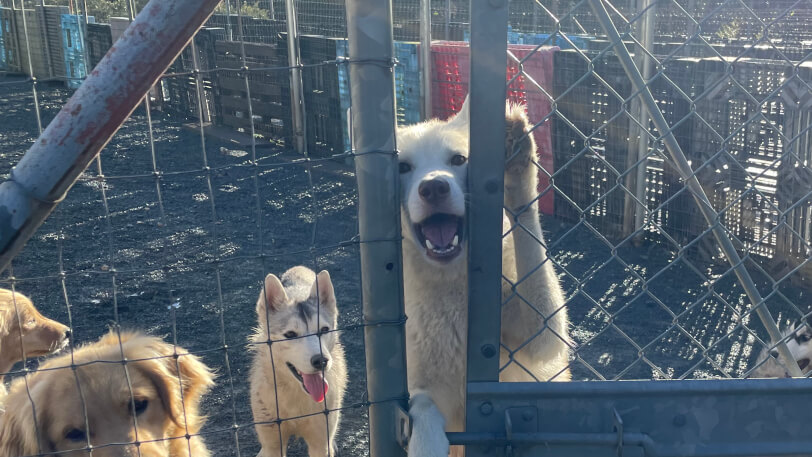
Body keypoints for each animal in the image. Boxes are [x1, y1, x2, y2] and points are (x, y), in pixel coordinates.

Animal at [249, 266, 348, 454]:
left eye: (324, 330)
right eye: (290, 334)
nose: (321, 361)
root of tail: (299, 268)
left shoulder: (320, 444)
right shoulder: (274, 443)